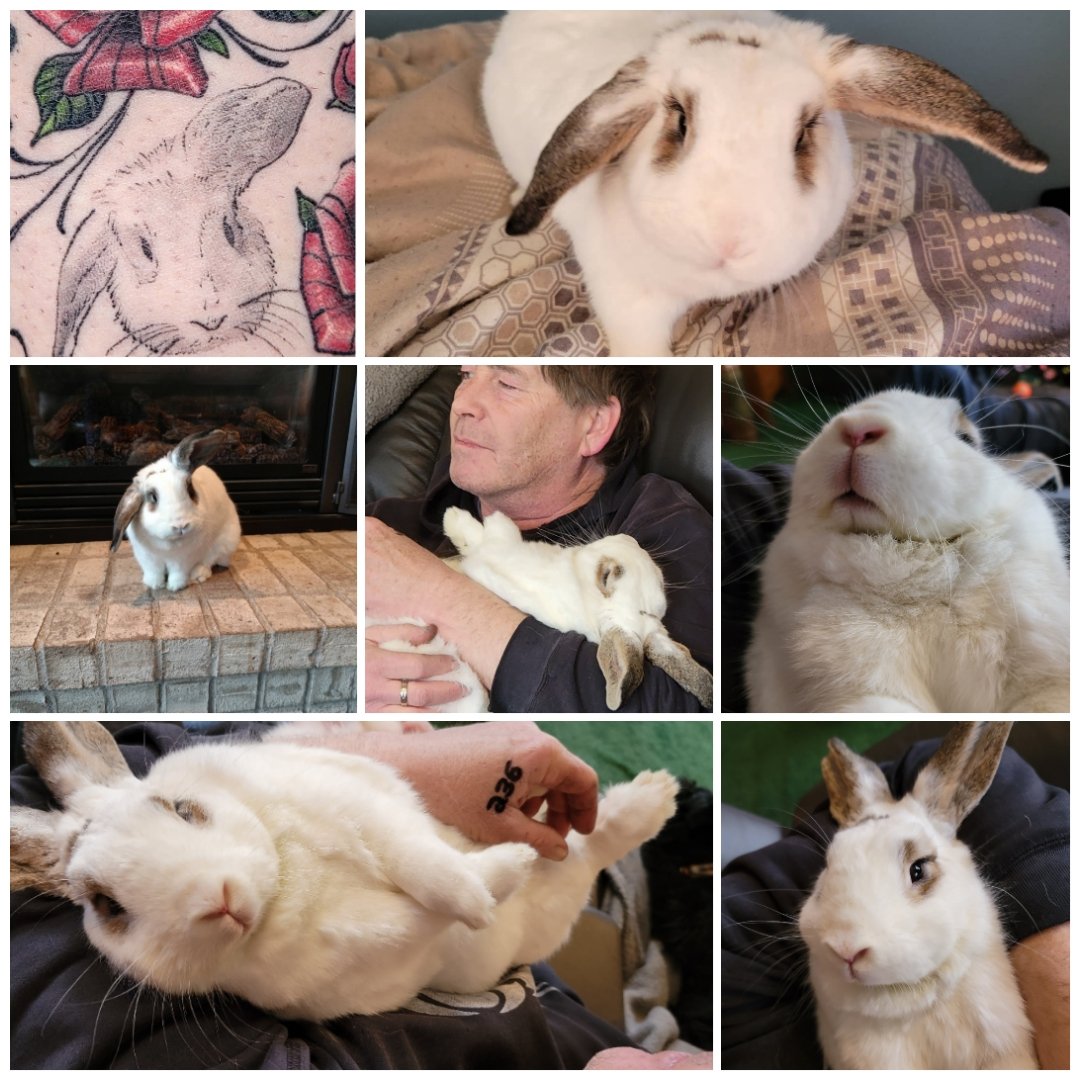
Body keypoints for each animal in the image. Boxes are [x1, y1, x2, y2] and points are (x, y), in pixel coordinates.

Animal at [10, 720, 679, 1021]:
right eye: (107, 907)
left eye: (181, 809)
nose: (216, 898)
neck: (284, 886)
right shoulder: (365, 951)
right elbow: (418, 920)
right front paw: (499, 882)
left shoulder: (368, 811)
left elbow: (422, 864)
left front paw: (477, 891)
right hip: (557, 907)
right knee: (584, 853)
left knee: (592, 839)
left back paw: (656, 793)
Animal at [111, 429, 241, 592]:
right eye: (153, 497)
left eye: (190, 490)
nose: (181, 526)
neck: (169, 545)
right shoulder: (147, 558)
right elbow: (154, 571)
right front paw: (154, 585)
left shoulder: (183, 559)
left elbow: (178, 572)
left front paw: (175, 587)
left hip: (226, 542)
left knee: (210, 560)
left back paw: (198, 575)